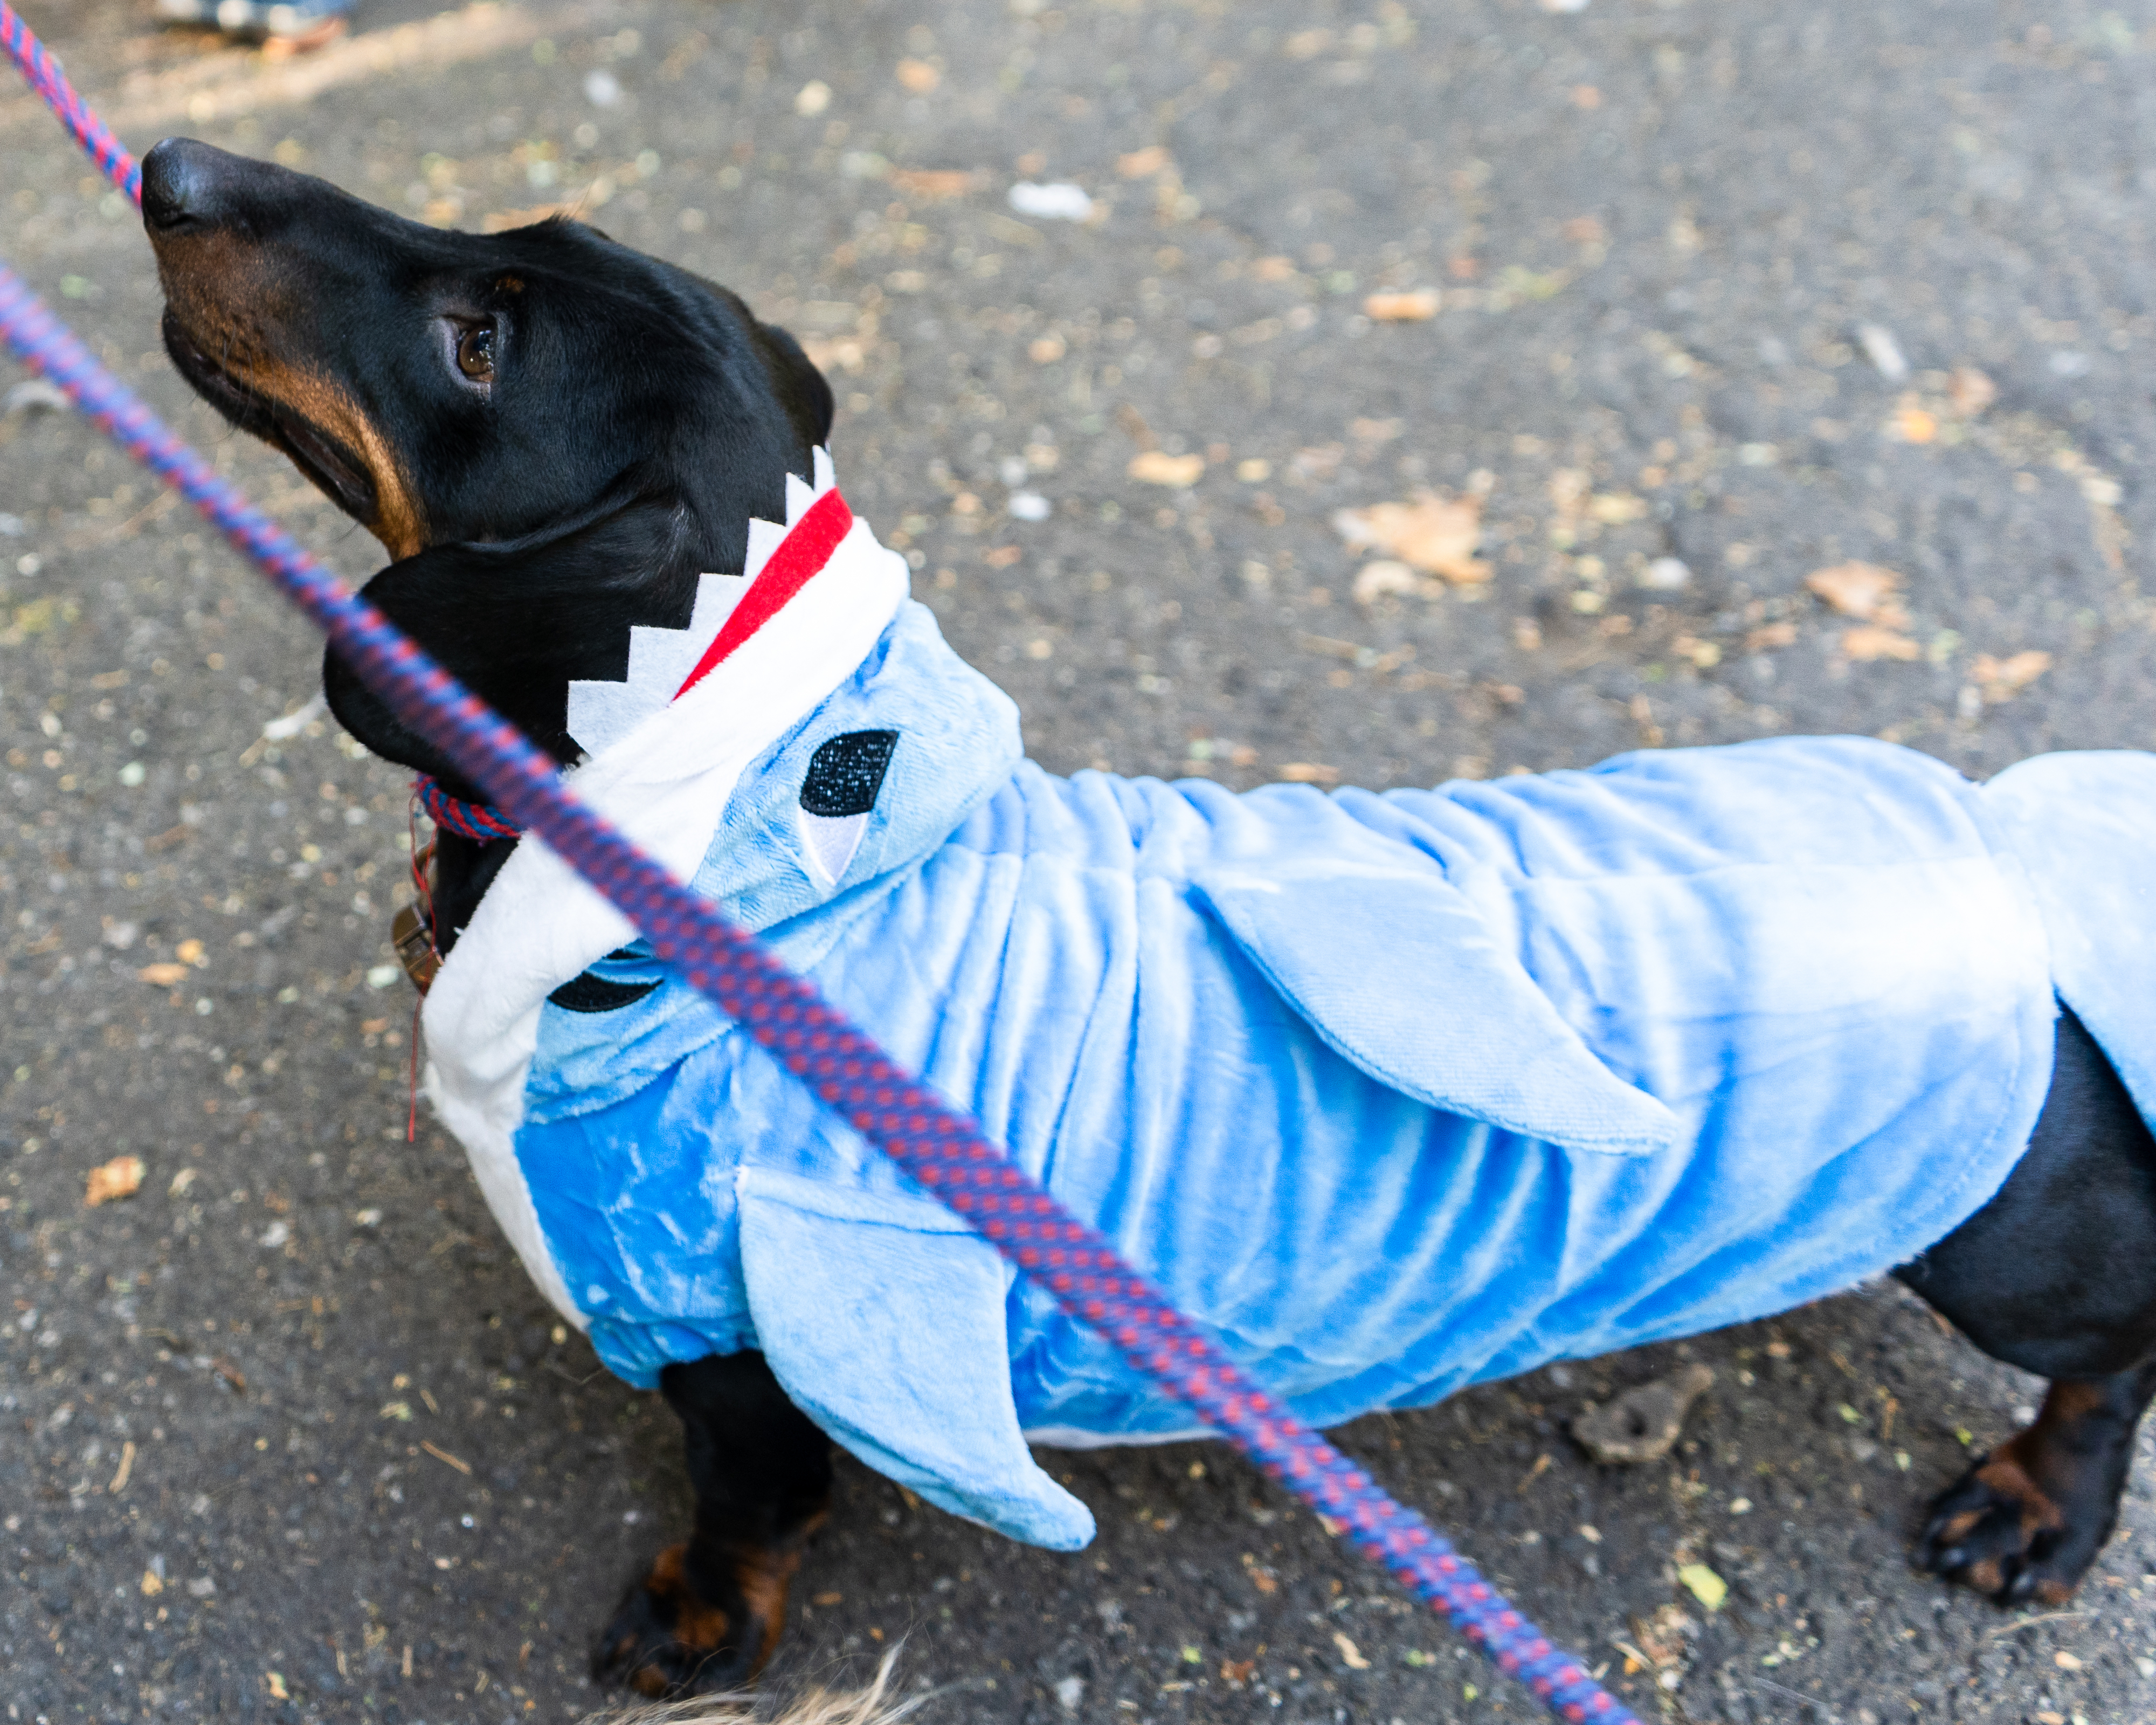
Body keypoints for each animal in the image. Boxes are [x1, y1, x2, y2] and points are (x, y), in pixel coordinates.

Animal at [139, 138, 2156, 1699]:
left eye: (477, 343)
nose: (170, 168)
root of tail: (2001, 848)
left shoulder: (738, 1356)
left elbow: (743, 1513)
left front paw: (694, 1627)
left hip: (2010, 1242)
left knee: (2113, 1353)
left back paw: (2032, 1514)